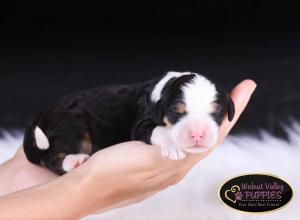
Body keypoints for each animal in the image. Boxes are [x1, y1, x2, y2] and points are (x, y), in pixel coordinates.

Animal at [22, 71, 234, 174]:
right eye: (176, 111)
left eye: (216, 112)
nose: (197, 134)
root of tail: (42, 114)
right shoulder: (142, 121)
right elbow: (158, 130)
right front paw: (173, 145)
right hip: (71, 124)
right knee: (49, 157)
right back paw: (74, 161)